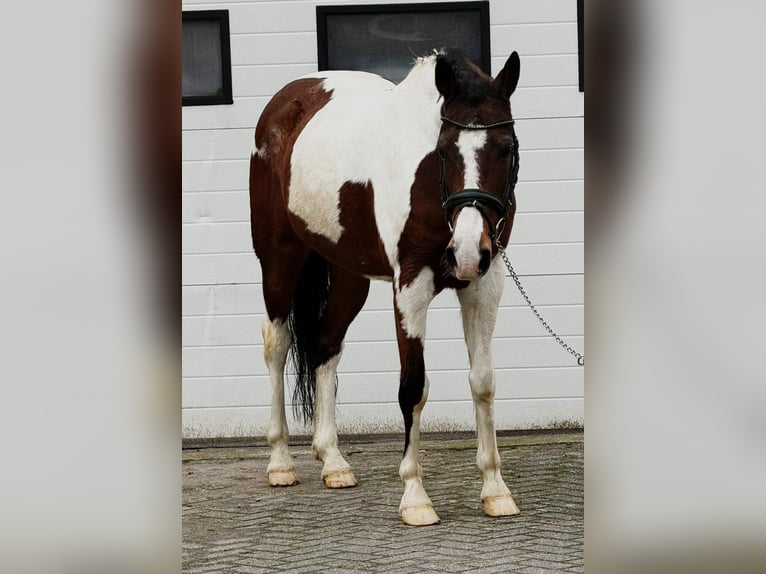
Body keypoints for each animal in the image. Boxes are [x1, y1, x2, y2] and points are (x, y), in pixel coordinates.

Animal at [249, 49, 521, 526]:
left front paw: (495, 490)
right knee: (277, 345)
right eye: (444, 151)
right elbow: (413, 386)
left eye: (505, 149)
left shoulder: (484, 284)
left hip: (347, 275)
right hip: (279, 260)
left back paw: (333, 462)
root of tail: (286, 102)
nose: (468, 249)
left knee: (325, 345)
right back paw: (280, 462)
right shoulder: (410, 286)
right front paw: (415, 497)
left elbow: (483, 381)